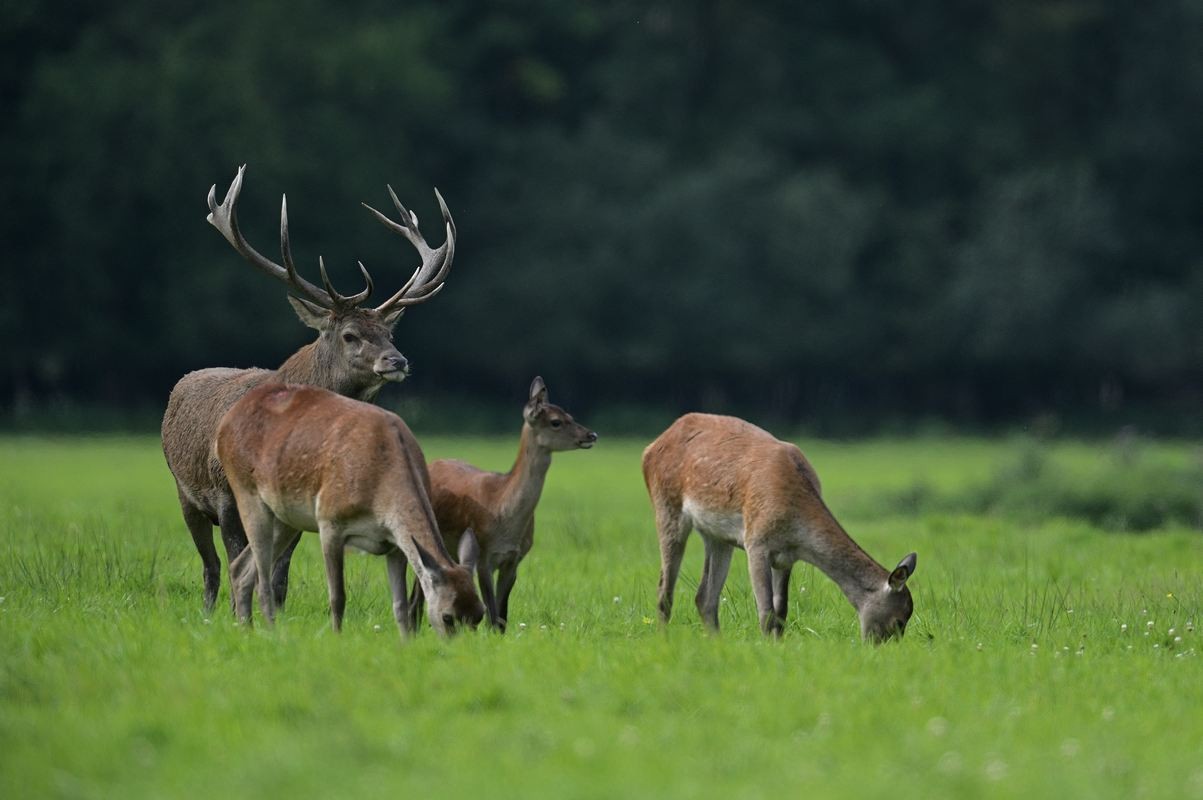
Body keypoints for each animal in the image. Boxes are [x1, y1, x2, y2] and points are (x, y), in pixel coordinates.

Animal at [162, 164, 452, 608]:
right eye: (350, 334)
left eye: (389, 332)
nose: (397, 361)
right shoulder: (227, 497)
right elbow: (238, 562)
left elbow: (279, 574)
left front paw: (276, 612)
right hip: (185, 492)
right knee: (210, 567)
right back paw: (210, 612)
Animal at [216, 382, 483, 635]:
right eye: (447, 616)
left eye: (479, 615)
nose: (458, 646)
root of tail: (224, 424)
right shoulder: (329, 521)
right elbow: (337, 597)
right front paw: (336, 636)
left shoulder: (395, 545)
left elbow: (399, 605)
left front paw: (405, 642)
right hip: (246, 491)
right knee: (262, 581)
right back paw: (272, 633)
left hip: (285, 518)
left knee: (241, 568)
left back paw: (247, 629)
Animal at [413, 375, 596, 630]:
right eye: (556, 422)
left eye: (570, 415)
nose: (591, 435)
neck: (502, 511)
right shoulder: (484, 556)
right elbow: (492, 615)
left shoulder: (515, 559)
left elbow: (502, 616)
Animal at [644, 413, 914, 639]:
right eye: (899, 620)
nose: (880, 646)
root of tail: (650, 448)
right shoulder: (756, 542)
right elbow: (766, 612)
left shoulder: (786, 557)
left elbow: (781, 611)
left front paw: (778, 645)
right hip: (666, 507)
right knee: (664, 590)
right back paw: (663, 639)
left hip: (717, 536)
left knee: (704, 597)